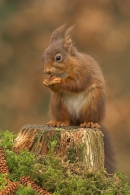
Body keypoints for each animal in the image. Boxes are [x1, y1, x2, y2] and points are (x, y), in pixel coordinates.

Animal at [42, 24, 115, 174]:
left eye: (58, 58)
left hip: (94, 103)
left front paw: (59, 81)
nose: (47, 71)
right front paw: (48, 82)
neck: (66, 70)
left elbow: (76, 84)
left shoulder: (83, 71)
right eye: (42, 57)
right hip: (58, 104)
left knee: (90, 117)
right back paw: (58, 122)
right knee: (65, 118)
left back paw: (90, 123)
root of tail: (76, 121)